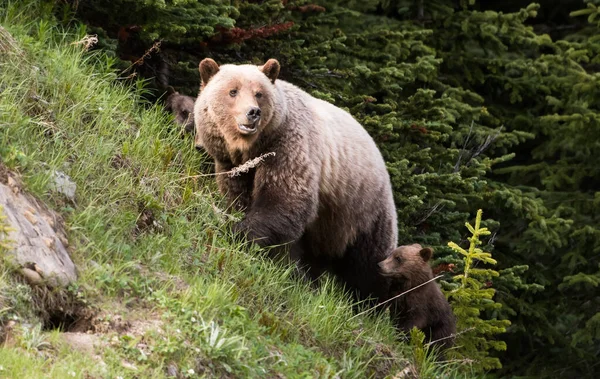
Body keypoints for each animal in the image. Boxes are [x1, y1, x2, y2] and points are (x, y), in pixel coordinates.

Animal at [195, 58, 396, 308]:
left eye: (259, 93)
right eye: (233, 91)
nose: (253, 112)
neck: (251, 150)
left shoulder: (287, 147)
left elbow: (284, 200)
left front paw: (240, 233)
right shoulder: (233, 167)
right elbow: (237, 199)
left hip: (363, 208)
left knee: (369, 264)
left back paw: (373, 304)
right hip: (328, 224)